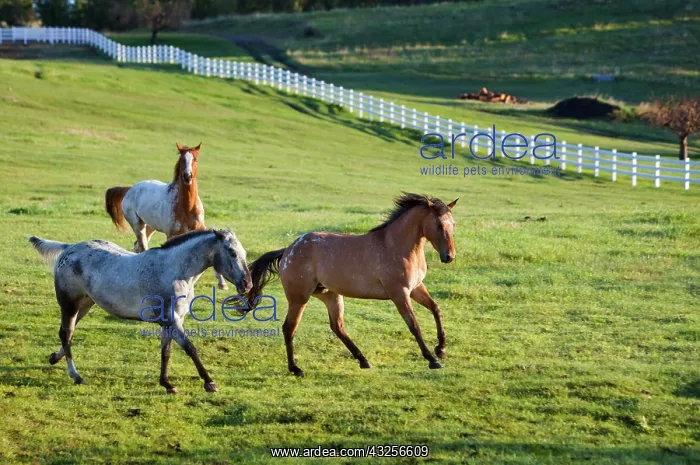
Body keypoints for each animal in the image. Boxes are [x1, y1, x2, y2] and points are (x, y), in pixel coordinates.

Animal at [29, 229, 252, 394]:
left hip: (85, 304)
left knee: (69, 332)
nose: (247, 284)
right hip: (69, 304)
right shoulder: (172, 320)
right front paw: (209, 382)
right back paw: (76, 376)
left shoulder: (170, 322)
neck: (174, 271)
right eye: (232, 252)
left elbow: (166, 352)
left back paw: (54, 358)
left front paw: (167, 384)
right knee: (66, 334)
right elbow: (190, 348)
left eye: (244, 253)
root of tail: (69, 248)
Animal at [104, 142, 228, 290]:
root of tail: (130, 189)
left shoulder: (200, 228)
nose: (187, 176)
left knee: (137, 246)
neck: (186, 207)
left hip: (150, 227)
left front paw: (222, 283)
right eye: (182, 160)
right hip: (137, 225)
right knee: (143, 246)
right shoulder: (171, 234)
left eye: (195, 159)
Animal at [246, 193, 458, 376]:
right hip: (299, 298)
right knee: (289, 327)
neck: (396, 246)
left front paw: (441, 349)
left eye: (453, 224)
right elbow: (414, 325)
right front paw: (432, 359)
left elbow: (436, 310)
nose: (449, 257)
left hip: (330, 295)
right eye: (439, 225)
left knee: (337, 326)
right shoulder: (399, 293)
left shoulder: (415, 288)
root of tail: (287, 250)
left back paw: (363, 360)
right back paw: (296, 368)